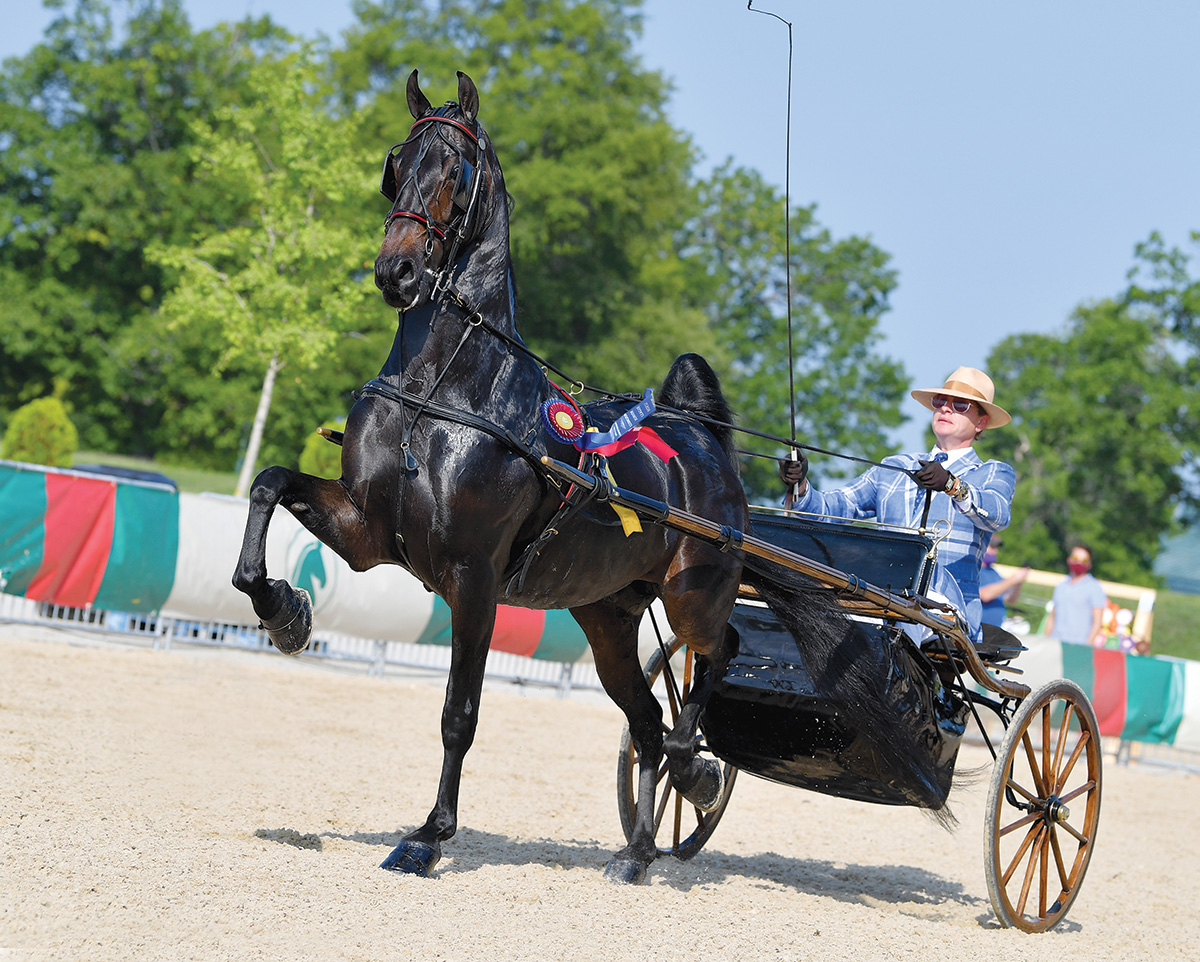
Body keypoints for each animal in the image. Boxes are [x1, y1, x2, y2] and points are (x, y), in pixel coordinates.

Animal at [231, 71, 748, 882]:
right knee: (645, 720)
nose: (397, 272)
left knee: (716, 657)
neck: (442, 393)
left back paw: (694, 767)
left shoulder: (473, 578)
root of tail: (699, 436)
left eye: (455, 169)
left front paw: (429, 835)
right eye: (396, 162)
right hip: (607, 615)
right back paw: (637, 851)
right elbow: (269, 483)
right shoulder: (367, 532)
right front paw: (283, 608)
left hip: (694, 592)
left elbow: (459, 712)